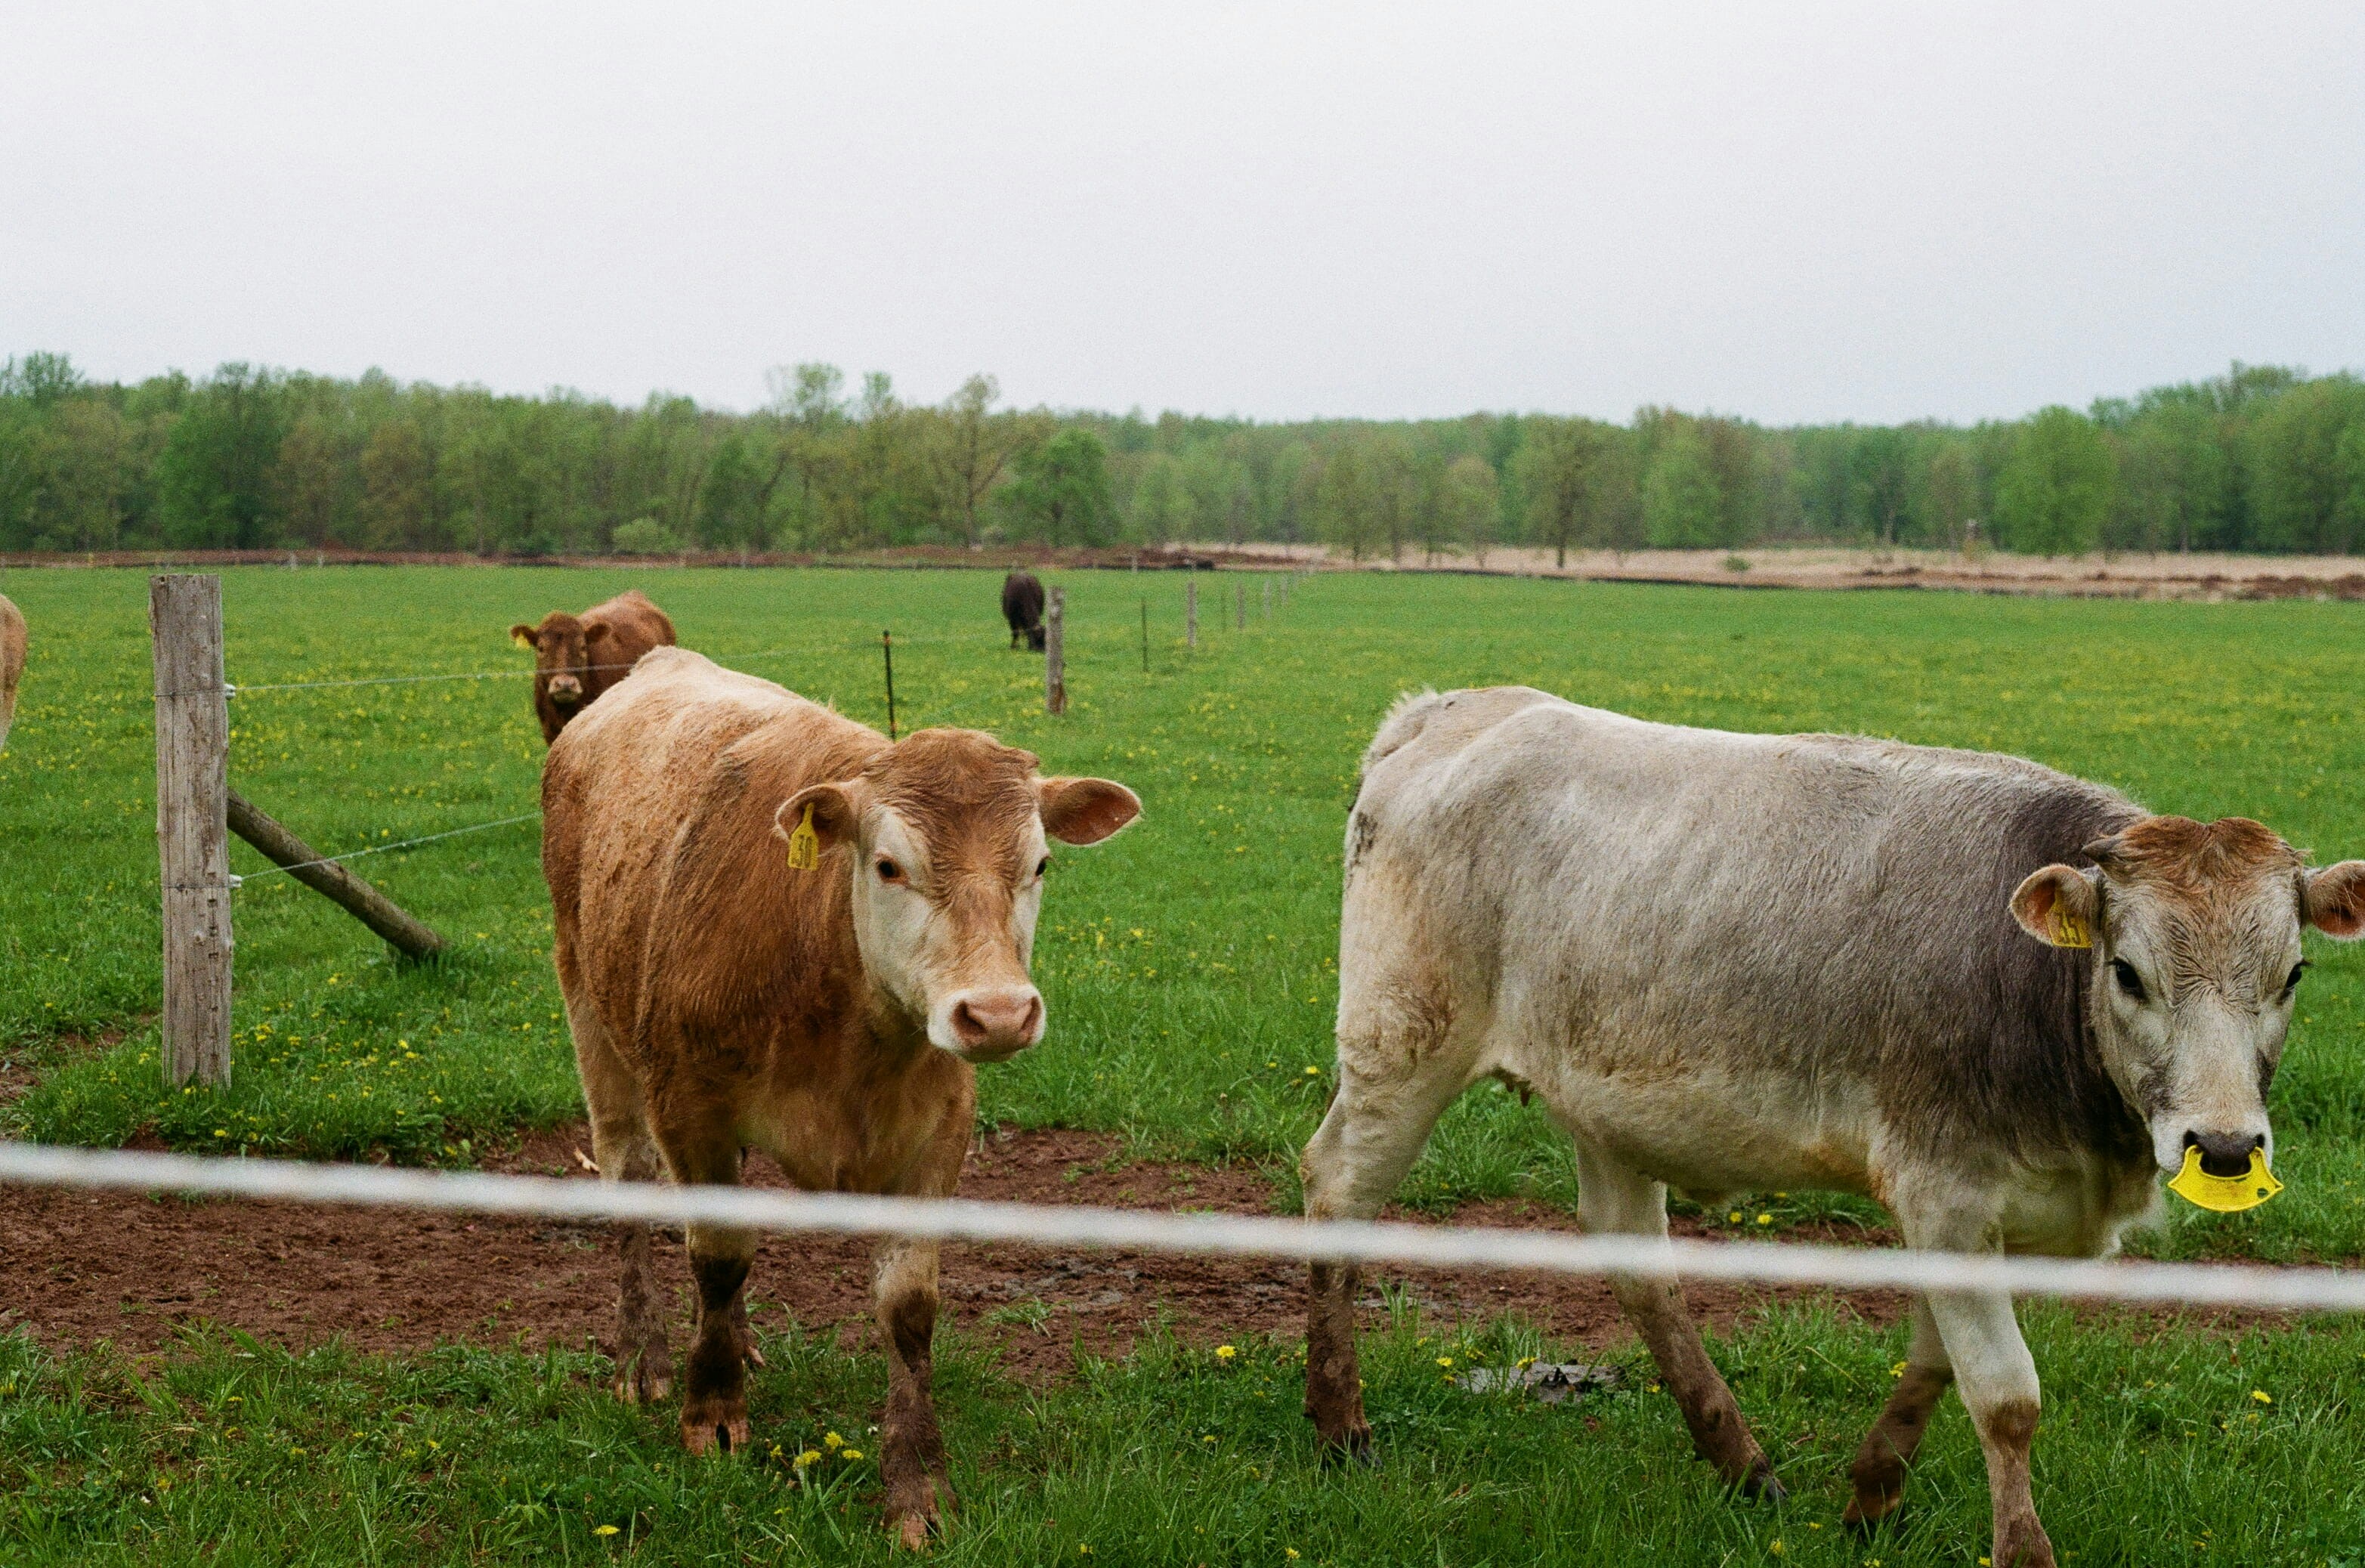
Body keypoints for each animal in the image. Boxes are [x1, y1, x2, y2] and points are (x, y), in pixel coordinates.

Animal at [540, 647, 1139, 1548]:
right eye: (889, 865)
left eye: (1039, 864)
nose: (998, 1012)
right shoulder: (687, 1106)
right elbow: (719, 1253)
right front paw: (710, 1411)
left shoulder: (936, 1133)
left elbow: (906, 1306)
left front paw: (917, 1485)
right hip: (588, 1001)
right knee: (629, 1175)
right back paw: (645, 1355)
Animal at [1301, 687, 2365, 1568]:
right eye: (2128, 972)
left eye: (2291, 974)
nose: (2222, 1148)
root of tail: (1454, 706)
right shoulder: (1945, 1191)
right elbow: (2004, 1395)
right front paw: (2020, 1547)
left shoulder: (1986, 1215)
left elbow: (1933, 1362)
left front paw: (1870, 1494)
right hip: (1402, 1041)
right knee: (1335, 1188)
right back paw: (1338, 1424)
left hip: (1603, 1095)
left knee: (1633, 1257)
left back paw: (1739, 1460)